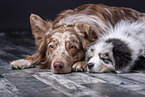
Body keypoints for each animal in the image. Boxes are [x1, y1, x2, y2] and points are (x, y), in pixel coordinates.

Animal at [10, 3, 145, 73]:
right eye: (51, 46)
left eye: (72, 47)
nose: (58, 66)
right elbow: (36, 56)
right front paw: (23, 61)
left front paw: (81, 63)